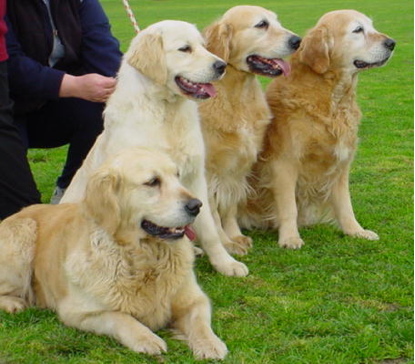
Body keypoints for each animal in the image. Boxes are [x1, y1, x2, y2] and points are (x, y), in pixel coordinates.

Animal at [0, 148, 228, 362]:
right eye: (152, 182)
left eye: (177, 175)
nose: (197, 205)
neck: (144, 259)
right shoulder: (77, 312)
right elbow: (120, 317)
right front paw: (147, 338)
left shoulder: (195, 299)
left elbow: (199, 322)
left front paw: (210, 344)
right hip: (24, 235)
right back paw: (14, 304)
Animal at [61, 20, 249, 276]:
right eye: (185, 49)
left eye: (203, 45)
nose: (221, 66)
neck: (165, 112)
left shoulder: (194, 179)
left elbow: (209, 229)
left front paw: (225, 263)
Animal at [200, 6, 300, 256]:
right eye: (261, 24)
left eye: (277, 21)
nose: (298, 41)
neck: (237, 96)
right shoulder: (207, 172)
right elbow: (213, 213)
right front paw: (225, 243)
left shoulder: (239, 165)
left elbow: (229, 206)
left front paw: (235, 236)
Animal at [242, 9, 398, 249]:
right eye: (358, 30)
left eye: (371, 26)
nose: (392, 43)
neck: (331, 99)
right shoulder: (283, 163)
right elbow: (288, 206)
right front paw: (290, 237)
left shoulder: (341, 165)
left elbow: (345, 205)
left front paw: (355, 231)